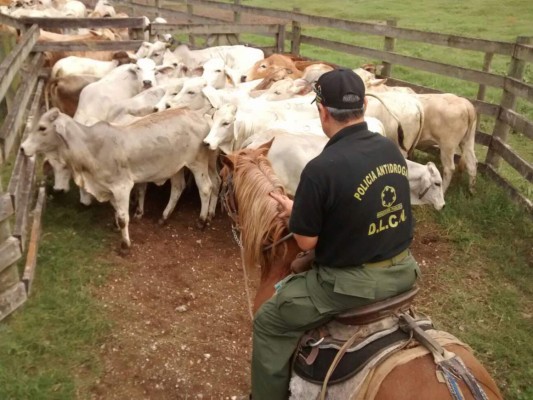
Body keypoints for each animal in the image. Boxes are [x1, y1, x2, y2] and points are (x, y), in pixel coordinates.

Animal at [20, 108, 216, 248]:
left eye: (42, 128)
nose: (22, 148)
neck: (91, 147)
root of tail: (201, 115)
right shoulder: (109, 188)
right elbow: (116, 210)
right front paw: (116, 226)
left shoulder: (122, 187)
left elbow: (123, 217)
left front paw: (125, 244)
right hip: (176, 167)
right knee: (177, 188)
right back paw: (164, 217)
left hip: (197, 163)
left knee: (206, 188)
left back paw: (201, 221)